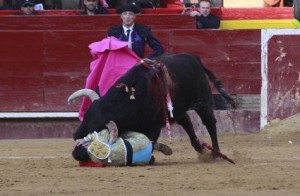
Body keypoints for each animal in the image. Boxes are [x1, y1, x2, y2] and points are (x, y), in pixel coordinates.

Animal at [69, 52, 236, 157]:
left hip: (202, 102)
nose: (76, 135)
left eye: (97, 128)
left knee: (210, 124)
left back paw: (215, 154)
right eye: (86, 116)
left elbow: (151, 142)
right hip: (176, 108)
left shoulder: (154, 126)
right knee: (187, 123)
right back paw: (200, 147)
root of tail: (194, 58)